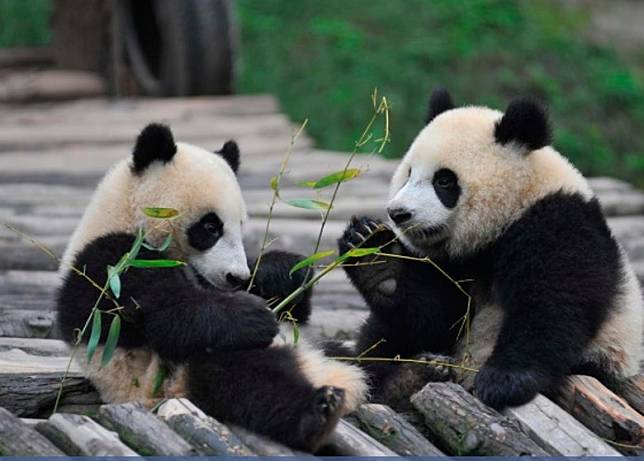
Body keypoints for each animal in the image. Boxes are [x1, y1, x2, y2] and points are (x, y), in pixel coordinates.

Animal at [56, 122, 368, 450]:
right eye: (210, 227)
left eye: (240, 226)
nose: (236, 277)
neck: (125, 216)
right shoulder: (111, 264)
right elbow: (166, 316)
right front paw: (253, 316)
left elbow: (289, 307)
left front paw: (283, 273)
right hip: (174, 379)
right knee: (243, 377)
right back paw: (318, 413)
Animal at [340, 89, 640, 410]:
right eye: (408, 174)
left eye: (443, 180)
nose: (398, 213)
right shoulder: (454, 263)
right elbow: (436, 317)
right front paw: (374, 257)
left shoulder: (558, 222)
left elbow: (552, 302)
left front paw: (505, 381)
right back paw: (406, 377)